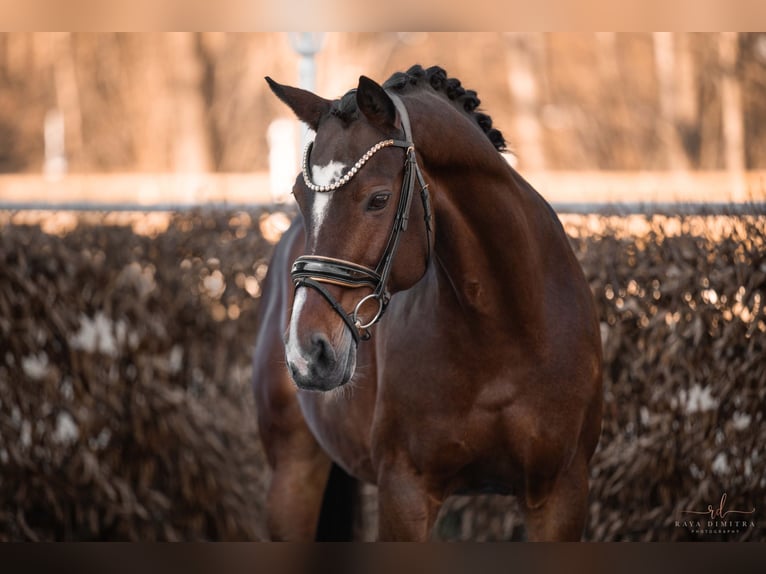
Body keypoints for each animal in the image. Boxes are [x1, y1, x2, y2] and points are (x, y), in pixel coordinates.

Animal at [255, 65, 604, 544]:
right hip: (291, 476)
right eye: (297, 196)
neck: (506, 329)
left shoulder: (560, 494)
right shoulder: (406, 492)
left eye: (379, 199)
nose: (308, 353)